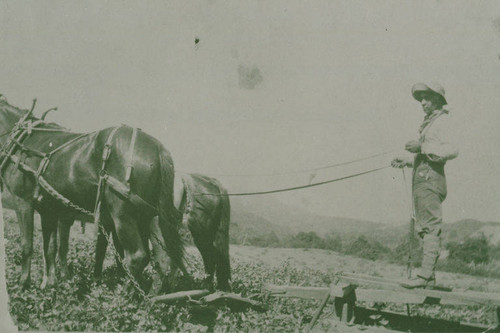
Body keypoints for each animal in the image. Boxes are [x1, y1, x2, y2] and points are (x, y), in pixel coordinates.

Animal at [0, 96, 186, 288]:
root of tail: (158, 148)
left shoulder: (23, 201)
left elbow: (26, 245)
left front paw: (23, 284)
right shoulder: (48, 209)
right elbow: (50, 248)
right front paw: (50, 285)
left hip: (123, 213)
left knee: (137, 257)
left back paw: (125, 291)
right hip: (150, 216)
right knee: (164, 260)